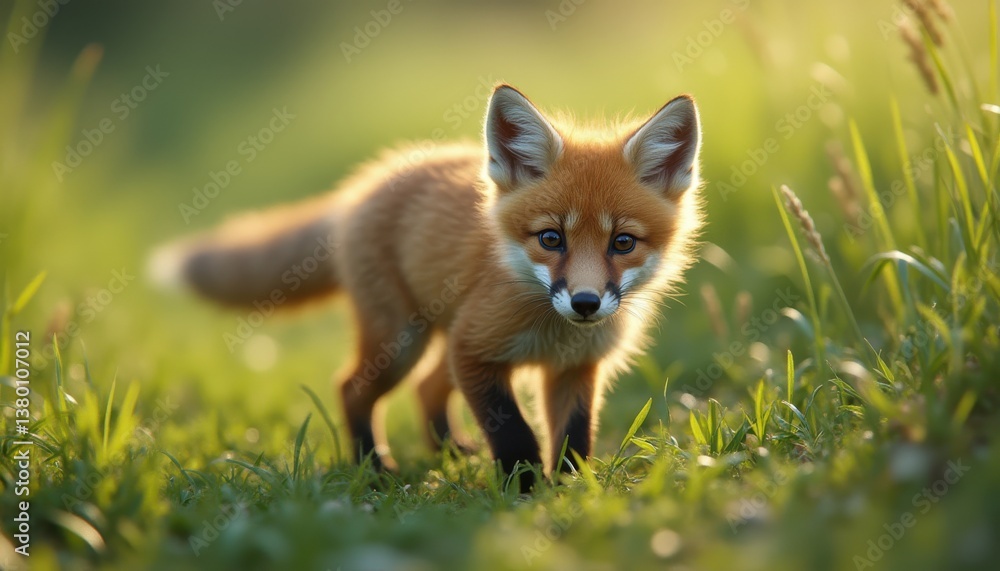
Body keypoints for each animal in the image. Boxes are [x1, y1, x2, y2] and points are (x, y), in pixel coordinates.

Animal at [153, 84, 704, 491]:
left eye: (622, 242)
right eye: (551, 238)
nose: (586, 303)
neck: (553, 331)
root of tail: (362, 188)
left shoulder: (574, 369)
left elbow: (573, 440)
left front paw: (569, 492)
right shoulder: (475, 350)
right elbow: (514, 433)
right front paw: (524, 491)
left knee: (426, 387)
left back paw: (449, 451)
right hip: (401, 343)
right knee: (352, 388)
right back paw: (375, 469)